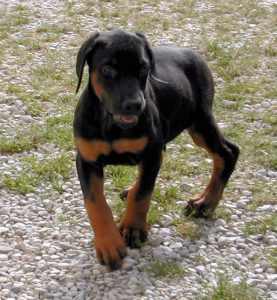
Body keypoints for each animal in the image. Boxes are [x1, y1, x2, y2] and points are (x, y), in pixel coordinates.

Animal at [73, 29, 237, 270]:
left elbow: (143, 193)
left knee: (228, 152)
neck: (112, 124)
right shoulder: (86, 159)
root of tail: (193, 53)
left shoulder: (152, 151)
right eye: (108, 69)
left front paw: (132, 228)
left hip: (199, 122)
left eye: (144, 69)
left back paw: (205, 203)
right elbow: (95, 203)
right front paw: (108, 244)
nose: (135, 105)